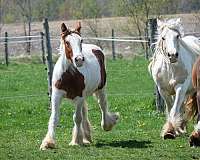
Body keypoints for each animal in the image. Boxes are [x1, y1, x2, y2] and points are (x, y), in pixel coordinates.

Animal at [40, 22, 119, 150]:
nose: (79, 59)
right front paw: (48, 142)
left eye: (80, 40)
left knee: (102, 105)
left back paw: (106, 125)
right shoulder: (56, 96)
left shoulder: (79, 96)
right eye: (67, 42)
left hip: (100, 89)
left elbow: (77, 118)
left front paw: (76, 140)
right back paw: (86, 137)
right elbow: (54, 118)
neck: (69, 75)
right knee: (84, 112)